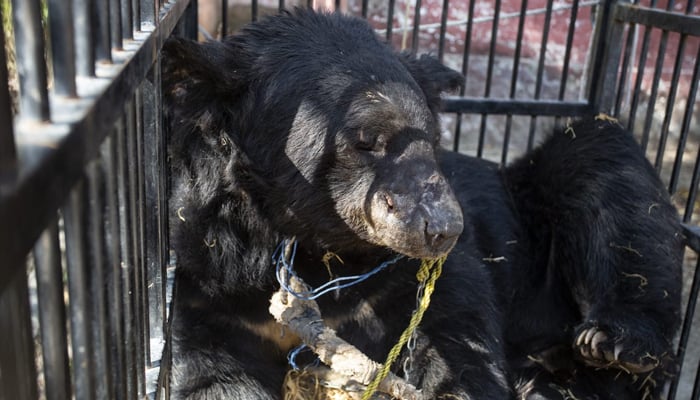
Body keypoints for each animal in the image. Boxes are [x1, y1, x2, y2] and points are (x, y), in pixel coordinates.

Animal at [161, 7, 680, 400]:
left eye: (430, 136)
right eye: (365, 141)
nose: (442, 228)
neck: (315, 246)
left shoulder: (415, 275)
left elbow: (453, 328)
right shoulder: (206, 279)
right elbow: (214, 371)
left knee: (608, 175)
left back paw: (614, 341)